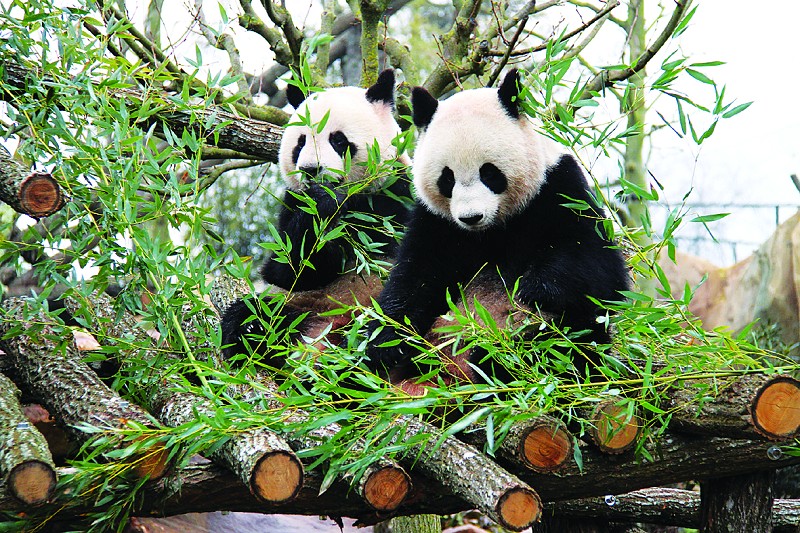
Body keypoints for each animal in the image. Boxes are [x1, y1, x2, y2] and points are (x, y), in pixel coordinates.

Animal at [223, 69, 412, 362]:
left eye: (338, 140)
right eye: (300, 143)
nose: (311, 170)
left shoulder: (398, 193)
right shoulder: (292, 205)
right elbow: (286, 269)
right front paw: (324, 214)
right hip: (298, 304)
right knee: (252, 314)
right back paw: (256, 333)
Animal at [364, 68, 632, 382]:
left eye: (489, 173)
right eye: (447, 178)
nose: (471, 217)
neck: (491, 230)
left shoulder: (559, 189)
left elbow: (597, 267)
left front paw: (534, 288)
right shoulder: (437, 222)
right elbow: (414, 278)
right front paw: (384, 343)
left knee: (563, 341)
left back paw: (497, 359)